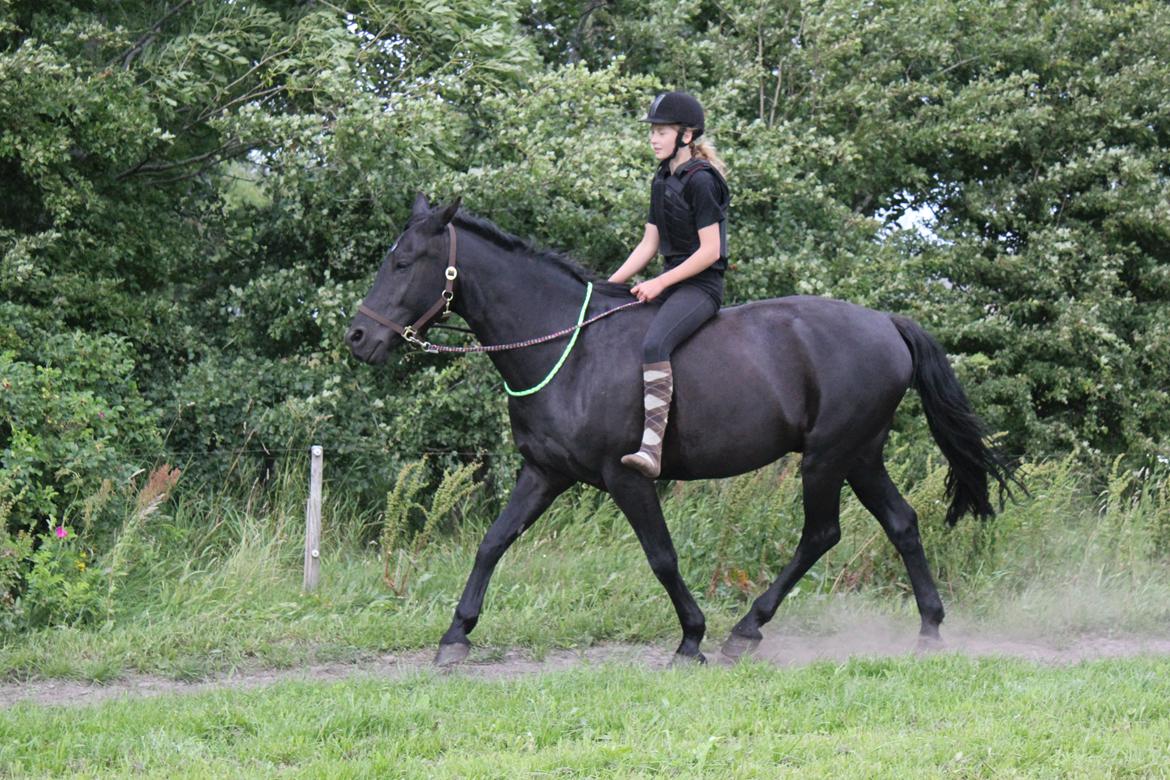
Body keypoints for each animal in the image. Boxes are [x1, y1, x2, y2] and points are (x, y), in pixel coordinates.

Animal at [346, 195, 1015, 664]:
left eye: (403, 262)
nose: (358, 337)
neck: (568, 348)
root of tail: (886, 323)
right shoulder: (545, 472)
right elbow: (493, 542)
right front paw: (455, 635)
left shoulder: (626, 478)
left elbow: (662, 557)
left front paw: (691, 637)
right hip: (860, 455)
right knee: (901, 523)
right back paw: (928, 628)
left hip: (828, 457)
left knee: (822, 534)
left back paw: (746, 630)